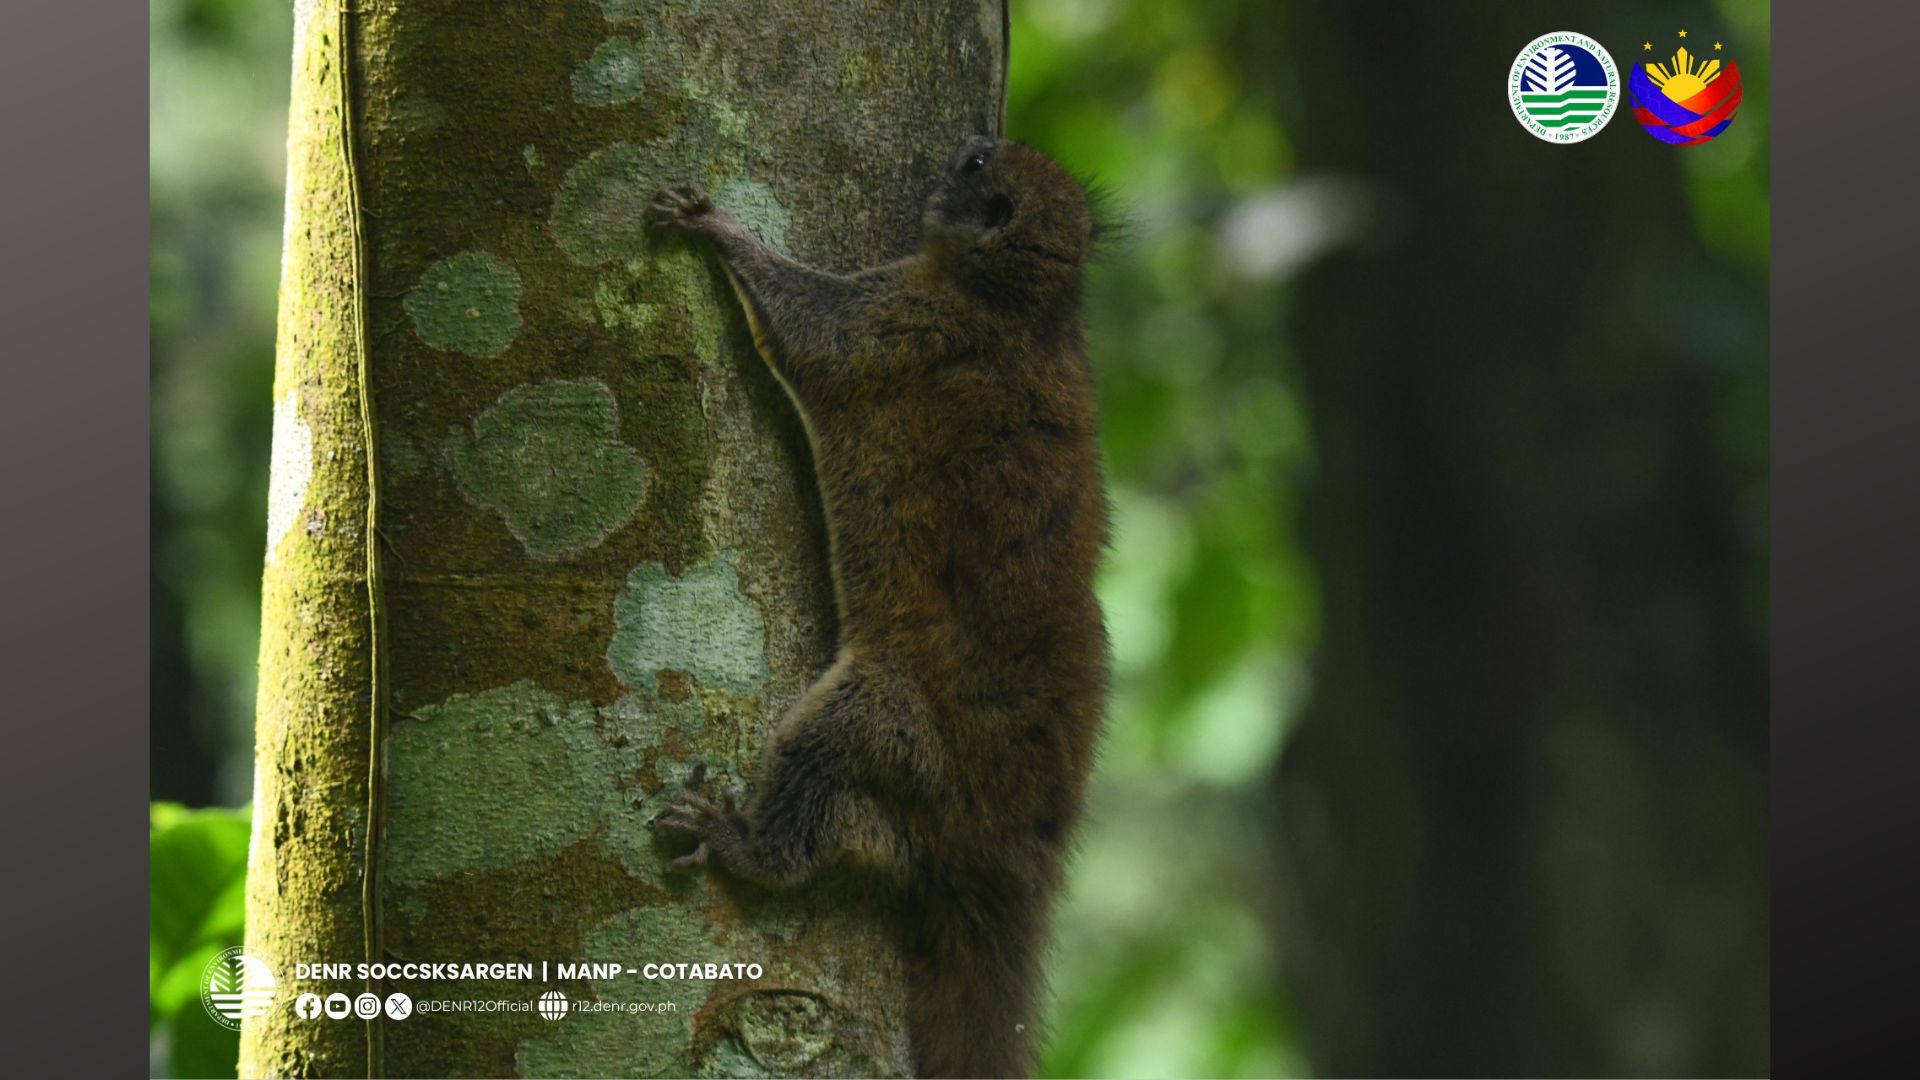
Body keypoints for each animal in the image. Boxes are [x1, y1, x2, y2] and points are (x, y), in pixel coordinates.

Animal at [648, 136, 1113, 1076]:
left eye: (976, 162)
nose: (962, 144)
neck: (1024, 309)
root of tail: (1014, 843)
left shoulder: (905, 321)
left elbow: (813, 335)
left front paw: (718, 229)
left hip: (896, 724)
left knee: (824, 761)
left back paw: (751, 849)